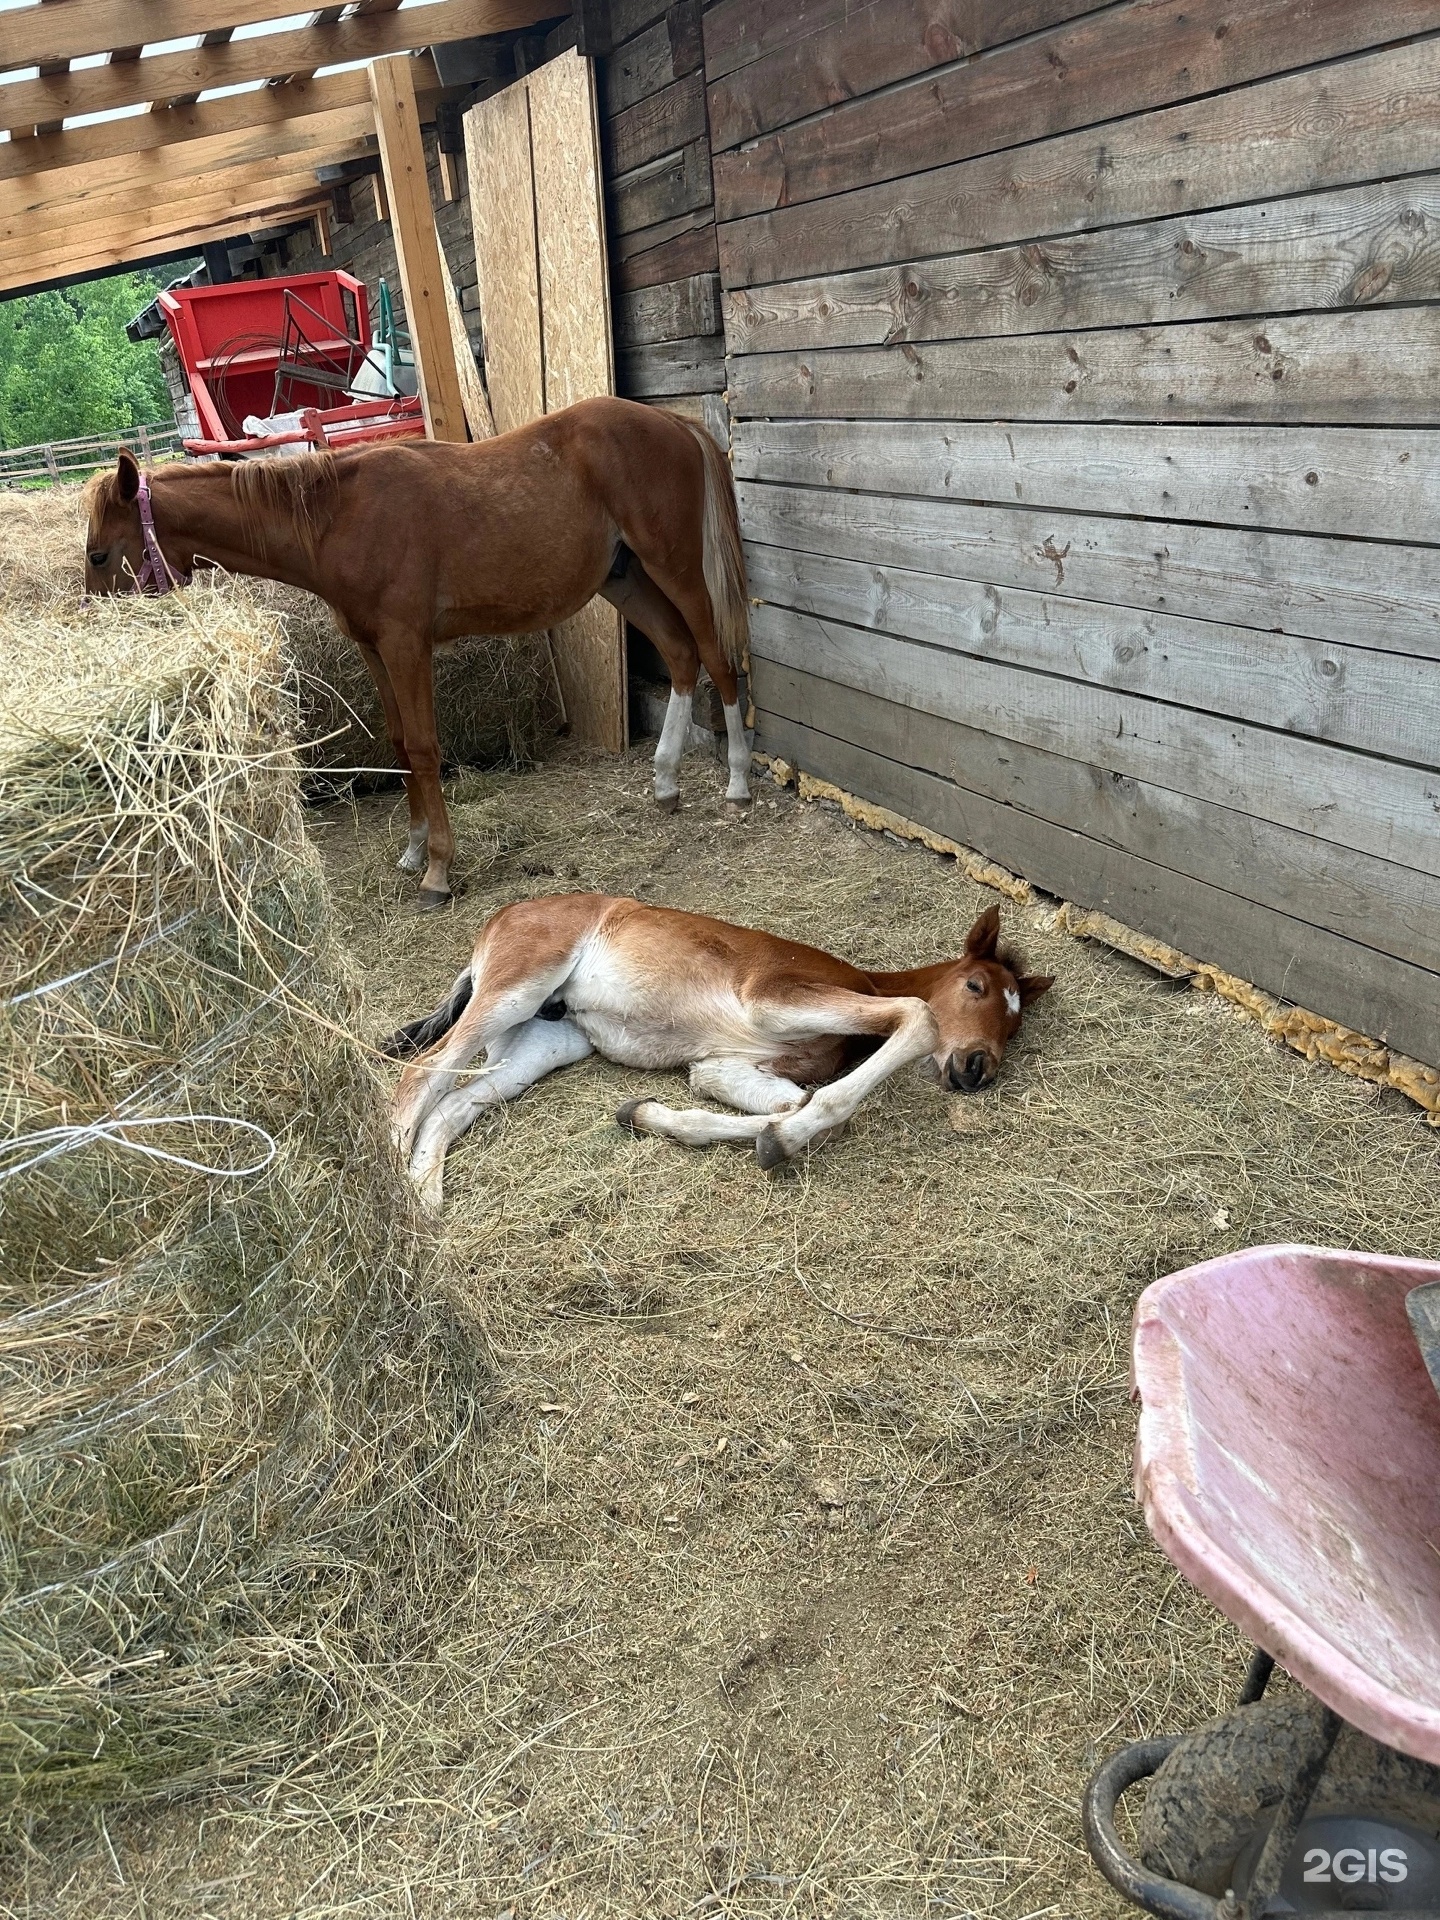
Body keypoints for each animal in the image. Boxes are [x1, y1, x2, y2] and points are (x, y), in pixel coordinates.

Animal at [81, 397, 756, 906]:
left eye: (98, 554)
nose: (94, 626)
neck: (339, 518)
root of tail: (672, 422)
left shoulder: (407, 646)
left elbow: (427, 749)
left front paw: (437, 869)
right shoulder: (373, 651)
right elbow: (401, 744)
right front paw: (410, 850)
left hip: (675, 570)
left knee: (717, 657)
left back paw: (738, 783)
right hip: (624, 579)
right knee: (680, 656)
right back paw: (665, 783)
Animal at [389, 890, 1052, 1205]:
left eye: (1015, 1026)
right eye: (975, 986)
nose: (976, 1069)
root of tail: (501, 916)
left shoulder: (721, 1066)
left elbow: (786, 1109)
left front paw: (647, 1115)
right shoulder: (772, 997)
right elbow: (917, 1018)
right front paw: (780, 1141)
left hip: (545, 1039)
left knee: (454, 1102)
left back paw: (425, 1202)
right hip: (518, 984)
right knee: (422, 1070)